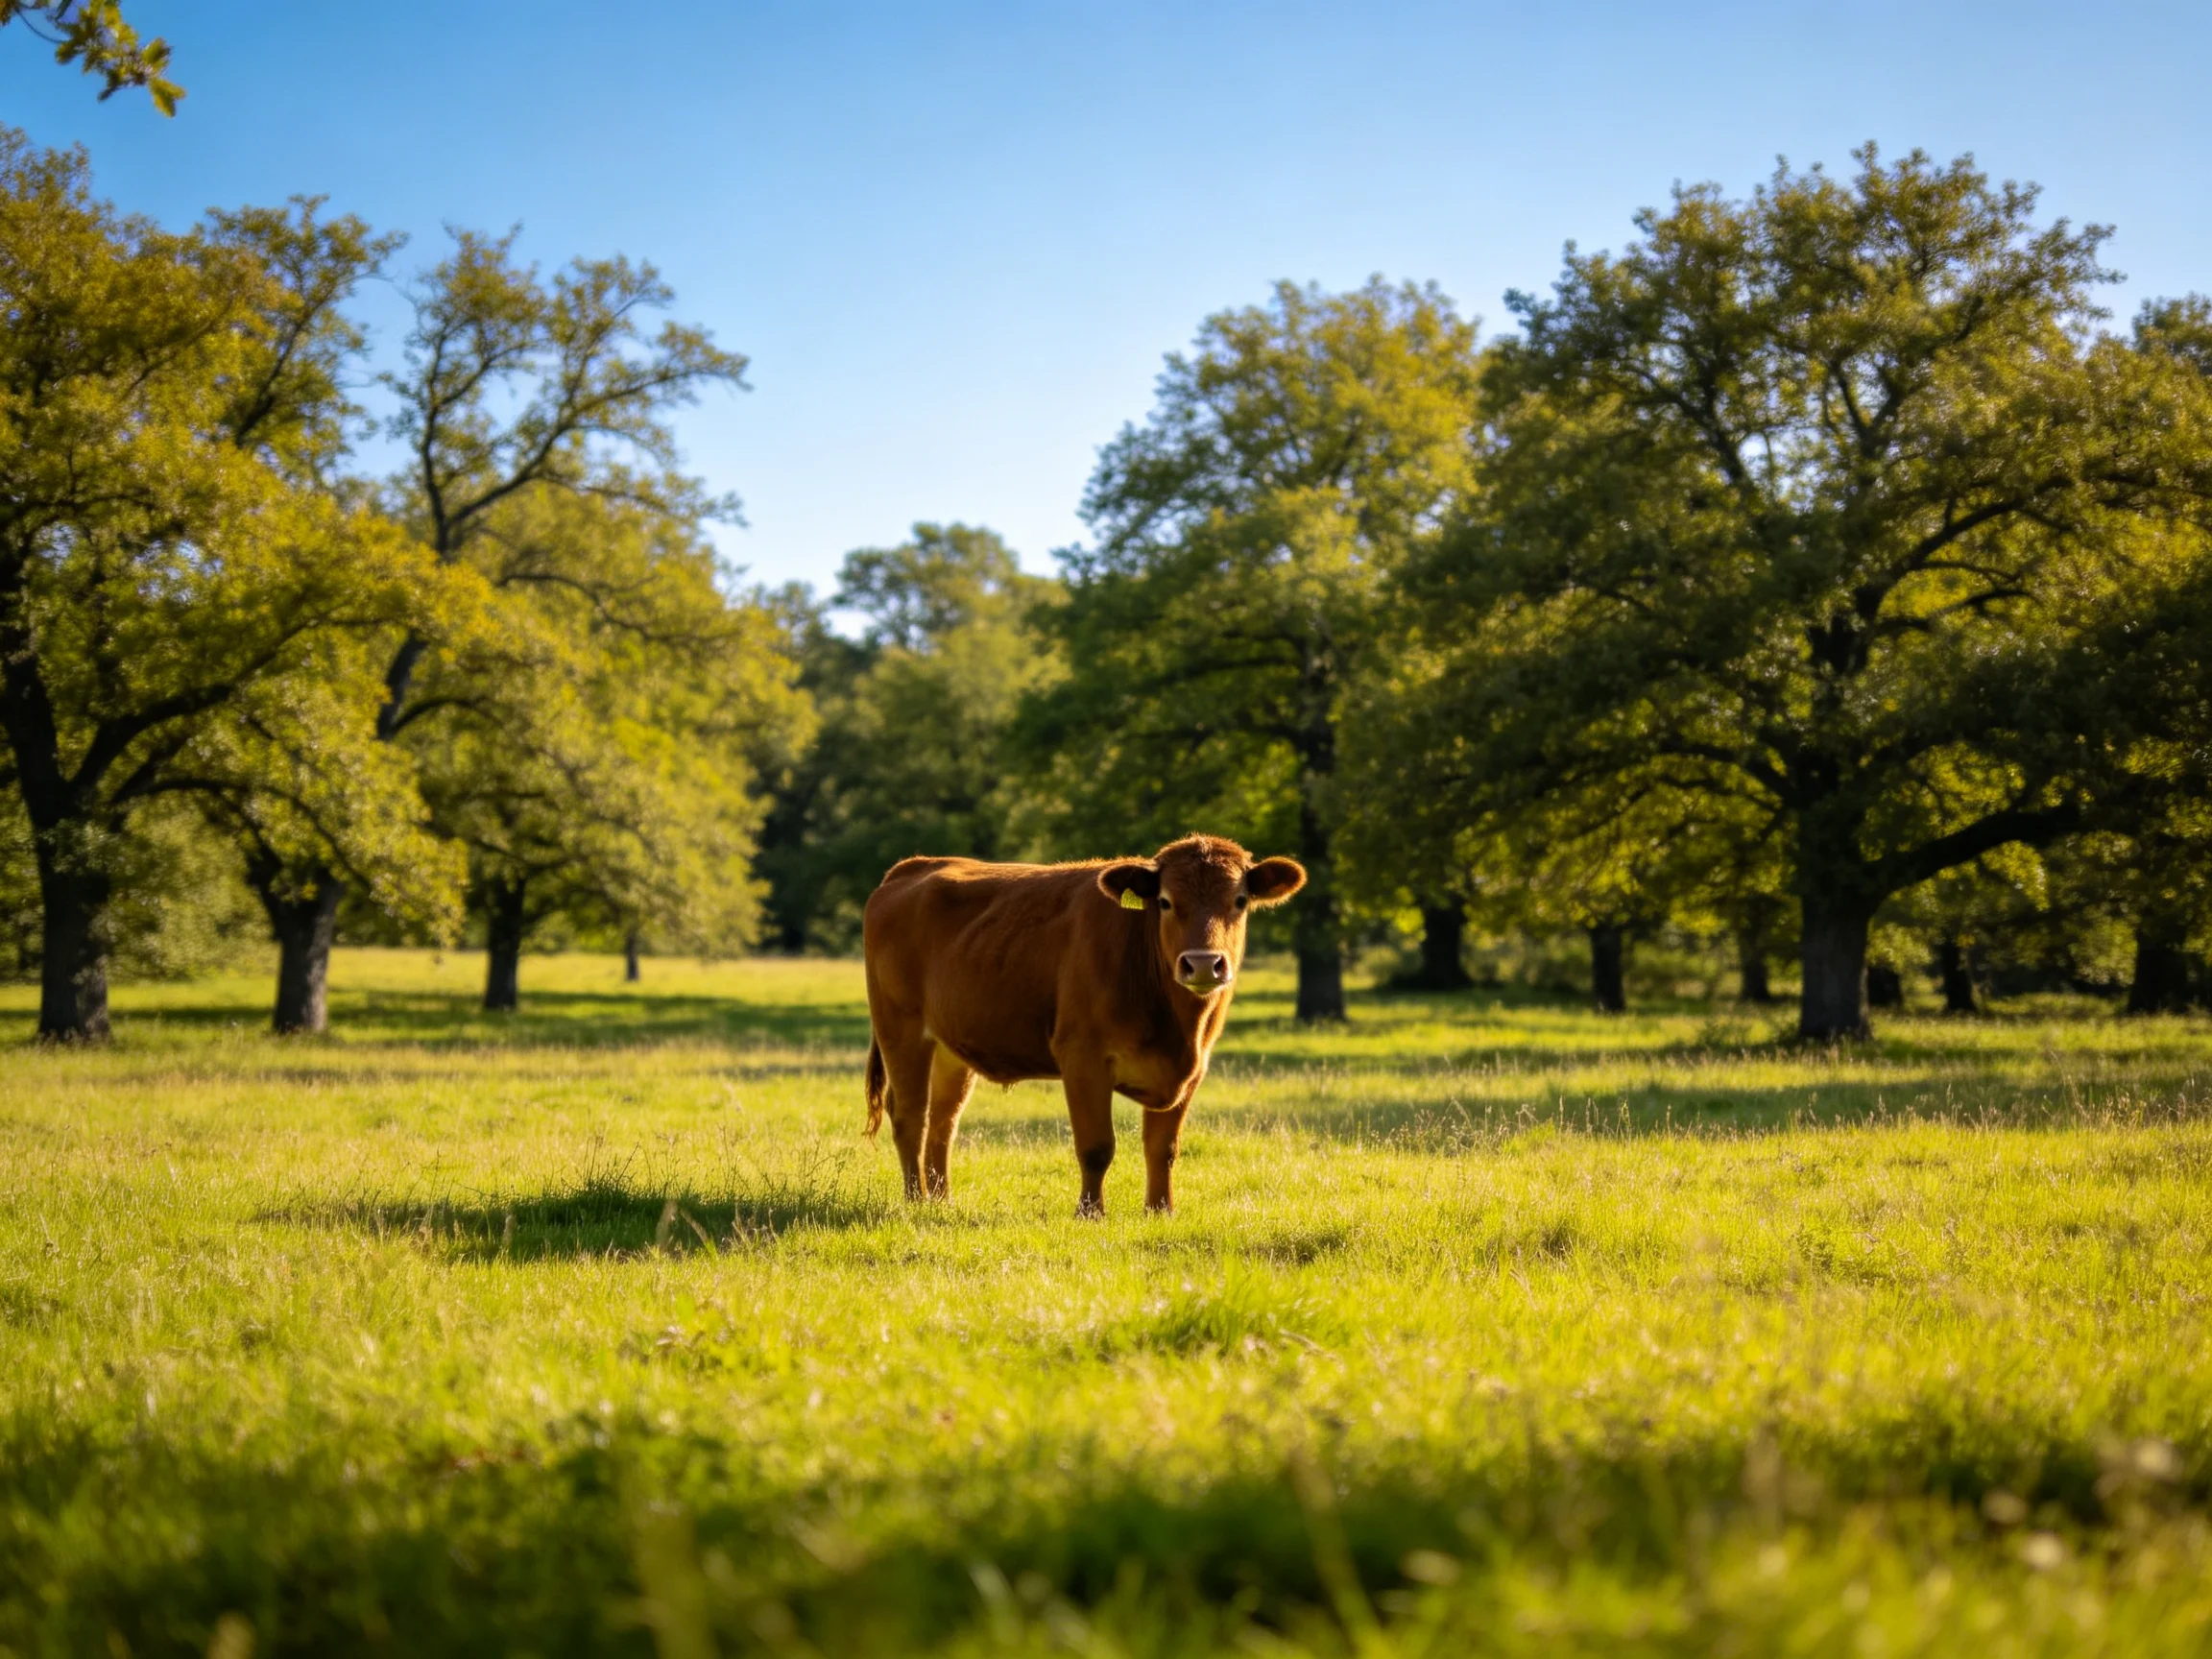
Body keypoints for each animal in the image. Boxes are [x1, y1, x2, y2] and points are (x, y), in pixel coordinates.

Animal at [861, 835, 1306, 1214]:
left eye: (1240, 900)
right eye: (1164, 901)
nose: (1202, 963)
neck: (1177, 1026)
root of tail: (914, 866)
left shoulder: (1194, 1068)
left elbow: (1162, 1147)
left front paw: (1160, 1210)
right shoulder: (1082, 1057)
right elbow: (1096, 1146)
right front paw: (1090, 1213)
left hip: (951, 1048)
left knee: (943, 1120)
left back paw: (942, 1201)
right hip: (900, 1029)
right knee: (911, 1116)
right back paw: (916, 1200)